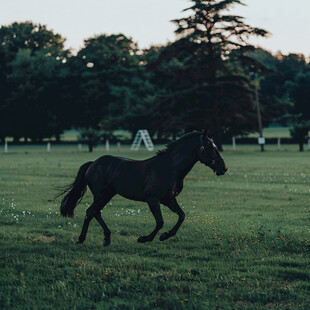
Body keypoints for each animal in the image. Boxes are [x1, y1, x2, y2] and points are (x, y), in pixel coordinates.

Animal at [58, 130, 228, 246]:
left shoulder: (169, 200)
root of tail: (93, 164)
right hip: (102, 195)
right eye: (209, 146)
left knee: (94, 212)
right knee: (91, 212)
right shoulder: (153, 200)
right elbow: (160, 222)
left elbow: (182, 216)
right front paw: (145, 238)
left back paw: (105, 238)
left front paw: (165, 235)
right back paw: (83, 239)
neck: (169, 169)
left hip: (107, 195)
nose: (223, 168)